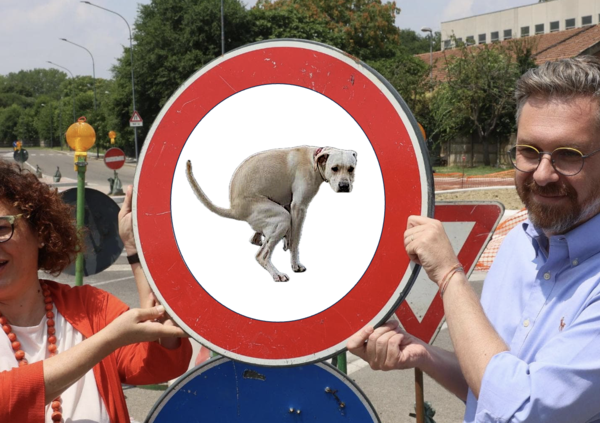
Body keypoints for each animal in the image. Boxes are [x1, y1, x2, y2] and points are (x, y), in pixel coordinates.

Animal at [186, 147, 356, 284]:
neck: (314, 160)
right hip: (281, 218)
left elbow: (291, 236)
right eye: (334, 168)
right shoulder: (298, 207)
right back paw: (277, 274)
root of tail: (234, 209)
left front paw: (287, 242)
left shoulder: (289, 205)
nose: (344, 186)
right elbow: (296, 240)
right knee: (261, 255)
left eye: (351, 168)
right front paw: (295, 264)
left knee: (257, 239)